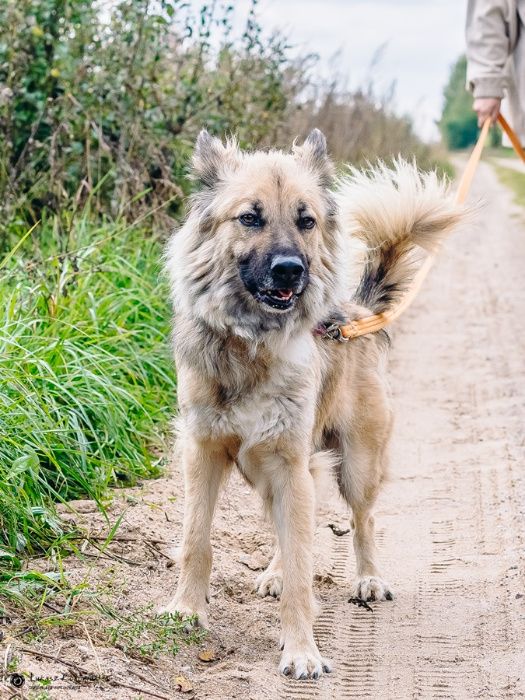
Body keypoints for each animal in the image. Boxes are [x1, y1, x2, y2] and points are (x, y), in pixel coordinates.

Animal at [163, 130, 462, 680]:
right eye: (250, 217)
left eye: (307, 221)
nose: (290, 269)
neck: (252, 345)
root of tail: (358, 312)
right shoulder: (205, 453)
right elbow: (197, 540)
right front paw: (187, 610)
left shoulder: (290, 463)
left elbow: (306, 564)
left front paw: (301, 649)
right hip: (272, 472)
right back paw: (275, 571)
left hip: (355, 465)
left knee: (362, 519)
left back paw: (367, 578)